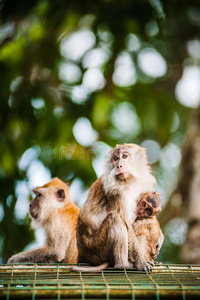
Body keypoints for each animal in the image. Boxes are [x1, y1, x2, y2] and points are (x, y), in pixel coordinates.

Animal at [71, 144, 157, 274]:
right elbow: (127, 223)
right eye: (116, 158)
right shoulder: (116, 192)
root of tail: (82, 253)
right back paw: (123, 264)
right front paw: (141, 262)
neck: (129, 182)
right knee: (115, 218)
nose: (119, 165)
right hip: (96, 248)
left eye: (124, 156)